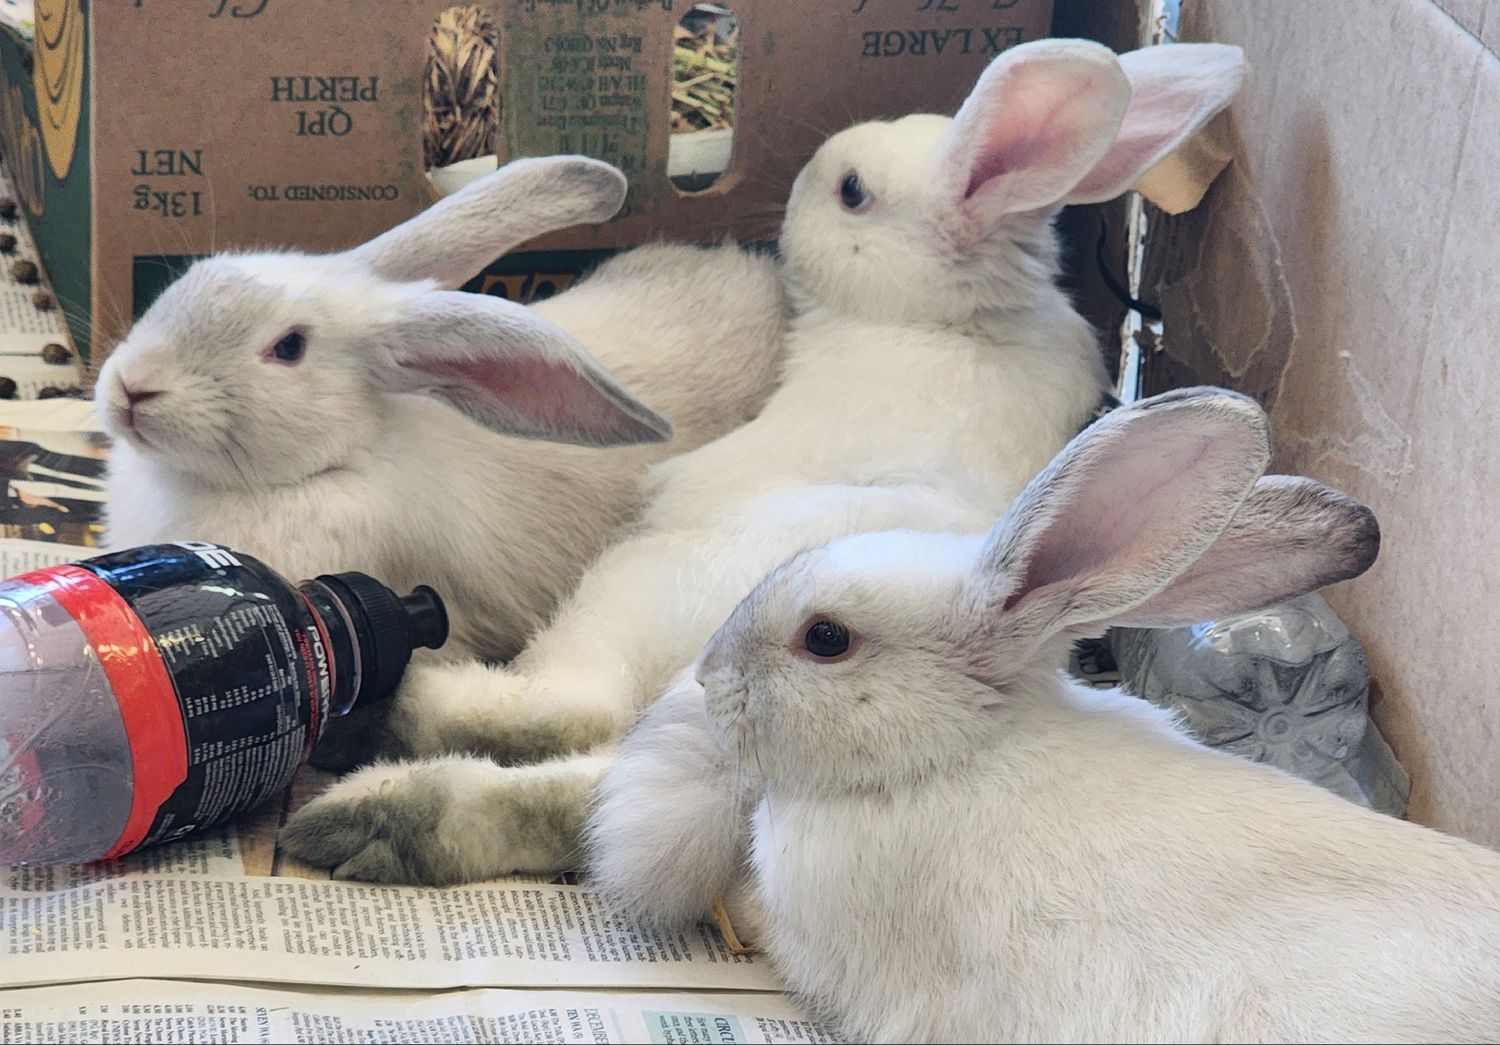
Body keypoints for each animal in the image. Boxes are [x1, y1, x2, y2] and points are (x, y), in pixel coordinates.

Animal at [278, 39, 1248, 886]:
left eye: (853, 192)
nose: (802, 179)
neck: (956, 318)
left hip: (633, 589)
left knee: (575, 704)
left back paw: (390, 751)